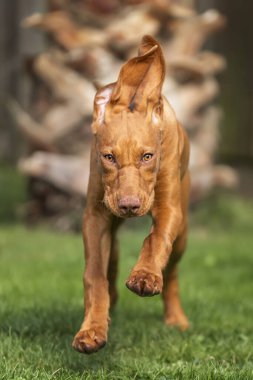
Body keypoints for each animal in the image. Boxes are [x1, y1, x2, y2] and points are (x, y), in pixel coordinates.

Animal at [72, 35, 189, 354]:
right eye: (108, 157)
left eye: (147, 156)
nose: (129, 206)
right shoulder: (96, 217)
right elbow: (94, 275)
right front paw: (92, 329)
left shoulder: (169, 208)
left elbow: (156, 239)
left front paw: (145, 276)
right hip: (111, 230)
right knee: (110, 266)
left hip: (183, 233)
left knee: (173, 271)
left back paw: (176, 318)